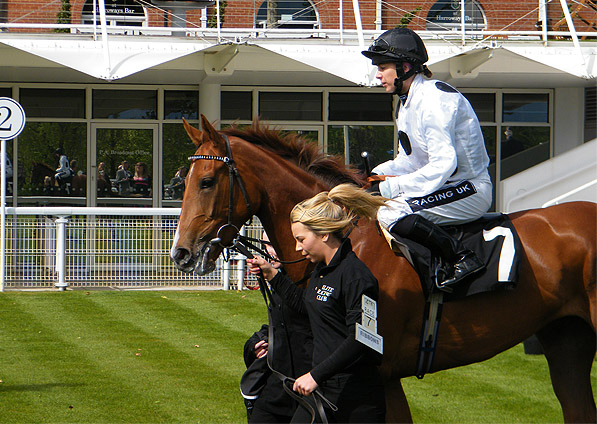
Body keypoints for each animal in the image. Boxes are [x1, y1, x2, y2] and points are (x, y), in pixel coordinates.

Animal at [170, 114, 592, 422]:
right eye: (183, 182)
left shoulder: (379, 373)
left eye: (206, 181)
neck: (346, 241)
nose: (181, 253)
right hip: (566, 342)